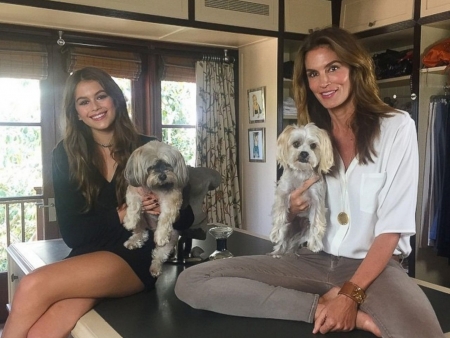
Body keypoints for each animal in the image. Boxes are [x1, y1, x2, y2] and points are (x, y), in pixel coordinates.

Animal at [122, 141, 189, 276]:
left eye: (167, 164)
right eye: (151, 167)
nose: (163, 176)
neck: (156, 187)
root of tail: (151, 228)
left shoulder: (171, 200)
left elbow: (165, 218)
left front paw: (161, 236)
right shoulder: (134, 191)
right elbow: (134, 206)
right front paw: (130, 222)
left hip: (172, 238)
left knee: (159, 254)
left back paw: (155, 268)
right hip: (142, 220)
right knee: (140, 231)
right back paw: (133, 240)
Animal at [268, 124, 332, 256]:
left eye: (313, 145)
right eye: (296, 143)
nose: (304, 153)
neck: (301, 173)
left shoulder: (317, 199)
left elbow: (316, 222)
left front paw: (315, 244)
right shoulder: (283, 192)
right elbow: (280, 212)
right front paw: (276, 233)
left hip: (303, 231)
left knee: (294, 243)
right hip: (290, 227)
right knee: (284, 241)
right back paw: (277, 252)